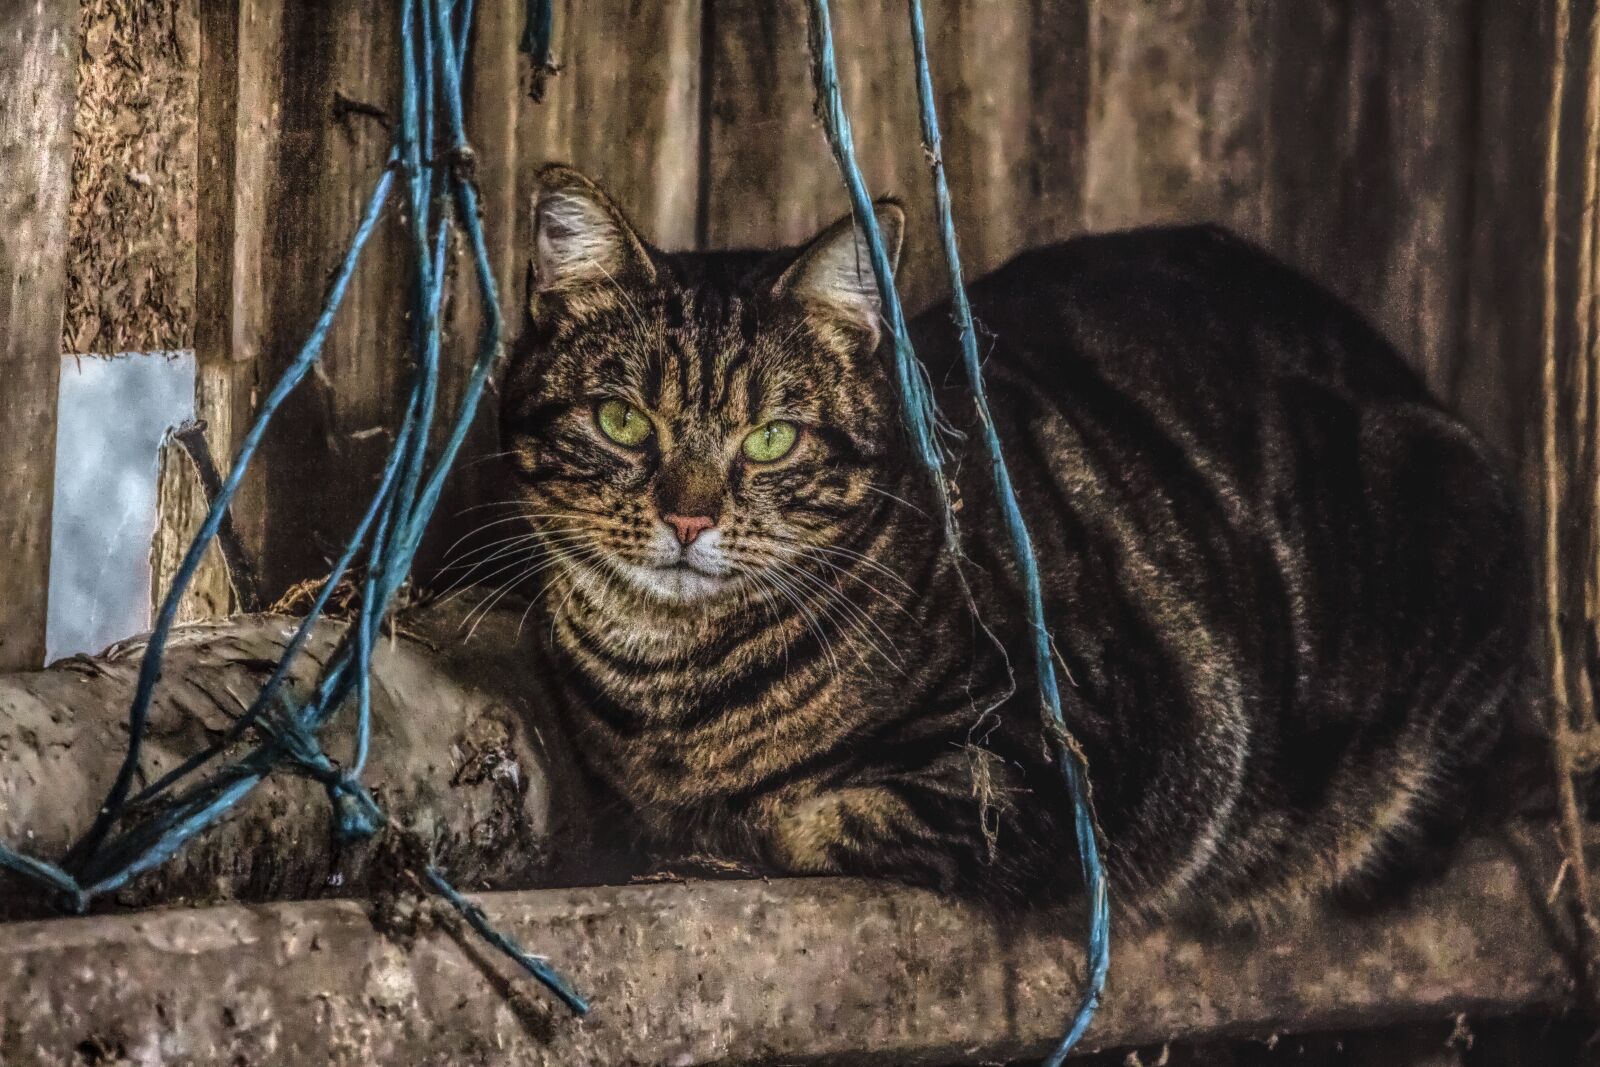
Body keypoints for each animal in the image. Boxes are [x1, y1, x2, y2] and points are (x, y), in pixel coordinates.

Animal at [496, 164, 1523, 921]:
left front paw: (726, 831)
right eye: (623, 422)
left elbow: (827, 812)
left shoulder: (1078, 763)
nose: (688, 518)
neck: (671, 687)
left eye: (772, 438)